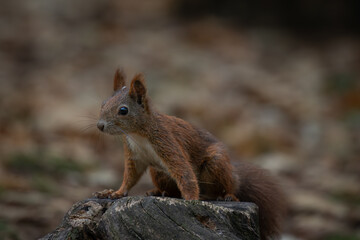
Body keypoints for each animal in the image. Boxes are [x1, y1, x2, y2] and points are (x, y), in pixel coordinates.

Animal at [94, 68, 288, 239]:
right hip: (158, 171)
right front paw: (115, 193)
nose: (100, 126)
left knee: (228, 186)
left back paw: (227, 195)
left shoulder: (167, 142)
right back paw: (159, 191)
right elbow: (130, 176)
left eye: (123, 110)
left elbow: (184, 172)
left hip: (217, 164)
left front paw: (191, 200)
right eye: (103, 104)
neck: (138, 134)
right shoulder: (134, 154)